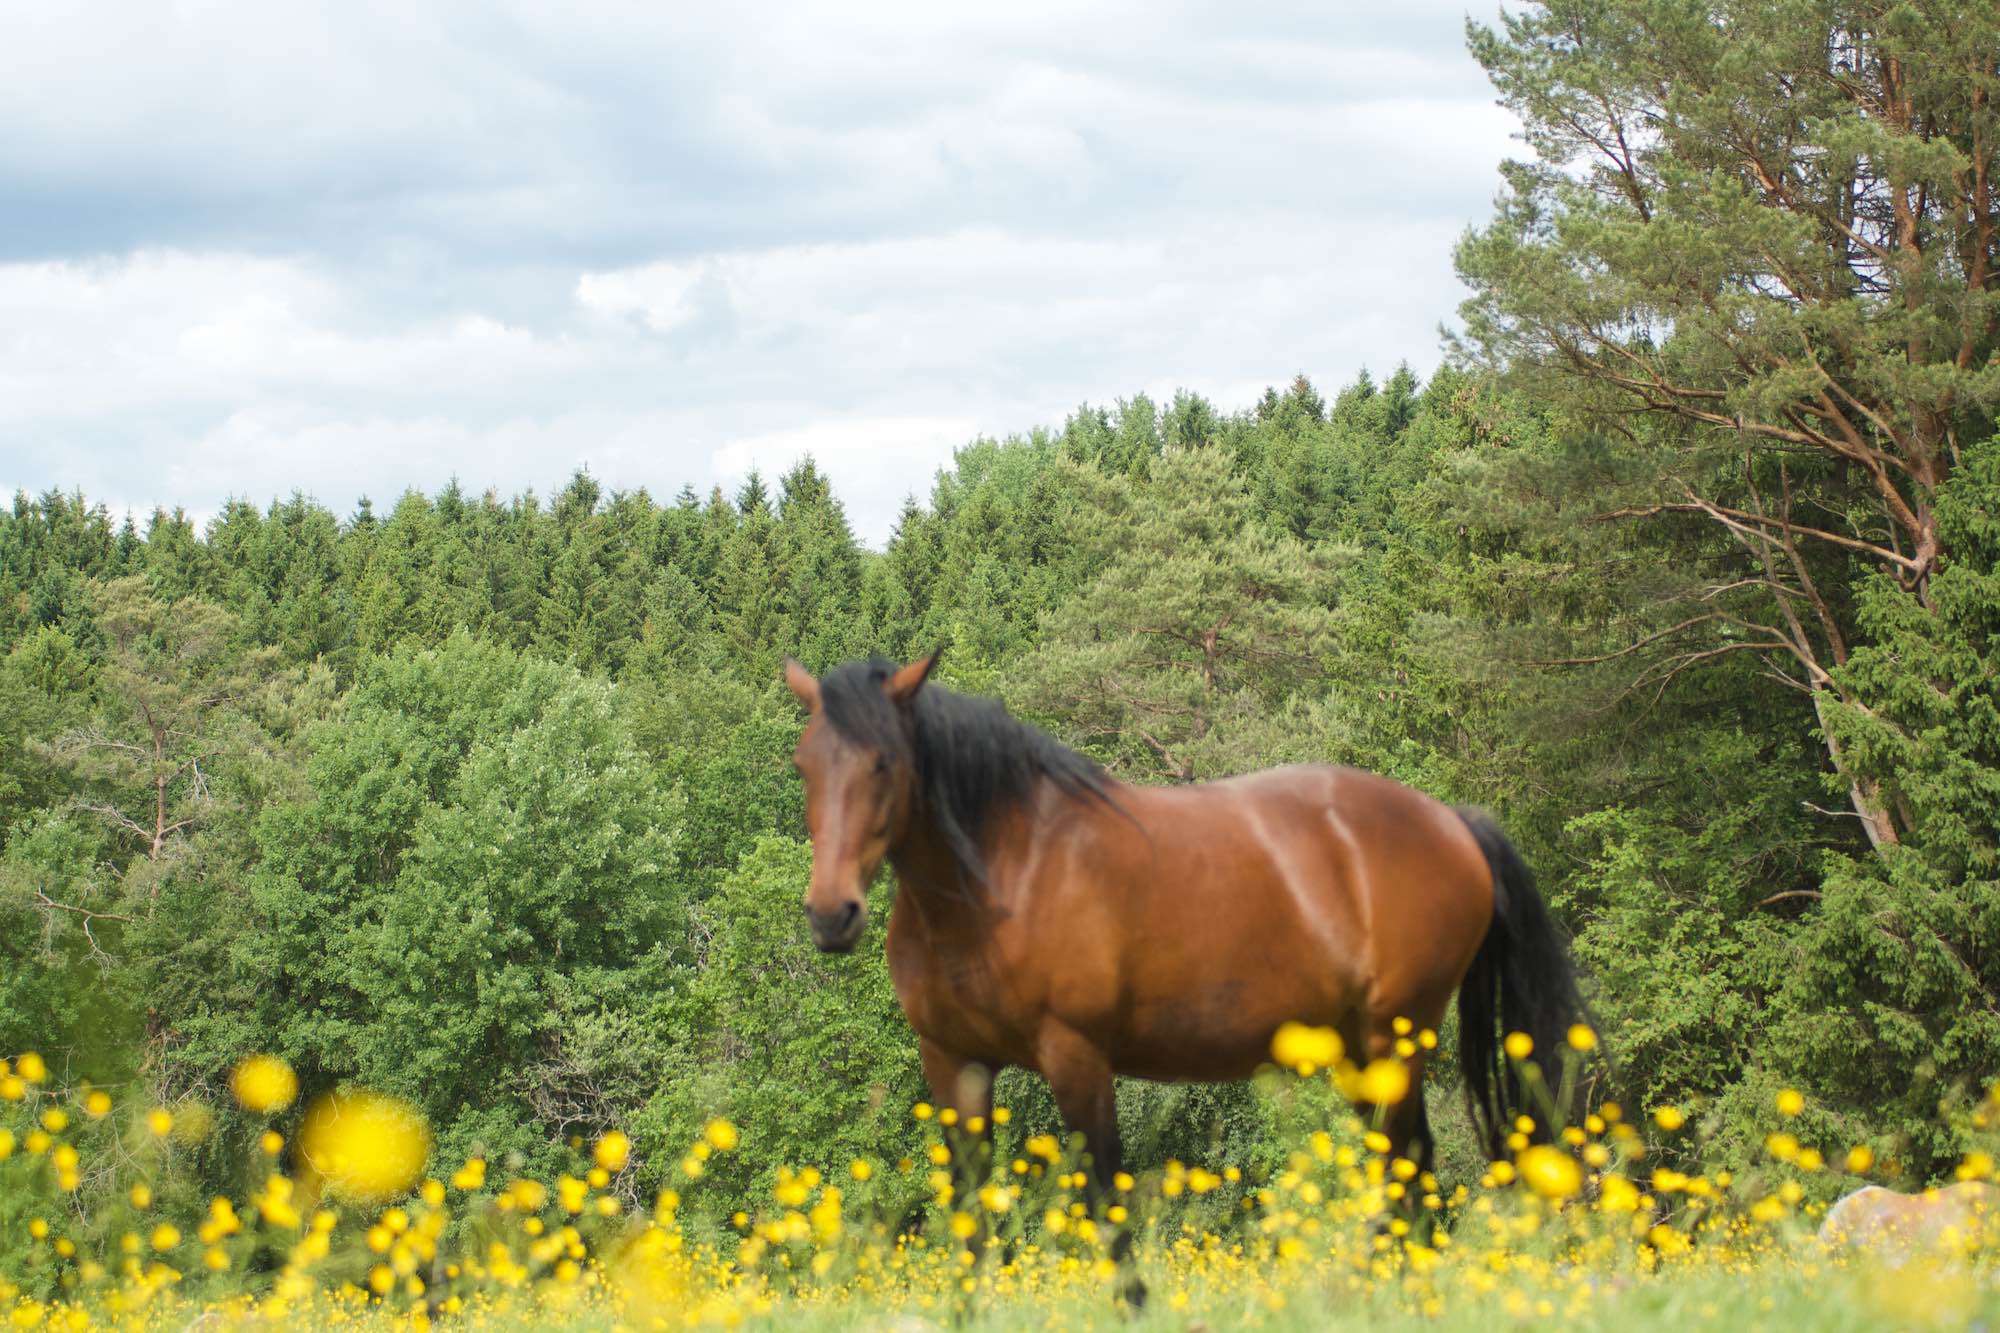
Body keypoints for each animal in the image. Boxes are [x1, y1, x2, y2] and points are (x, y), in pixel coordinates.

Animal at [782, 650, 1588, 1194]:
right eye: (802, 765)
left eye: (884, 762)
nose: (831, 914)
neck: (999, 878)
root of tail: (1451, 821)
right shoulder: (954, 1065)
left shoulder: (1076, 1058)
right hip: (1362, 1047)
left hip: (1396, 1036)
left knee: (1406, 1169)